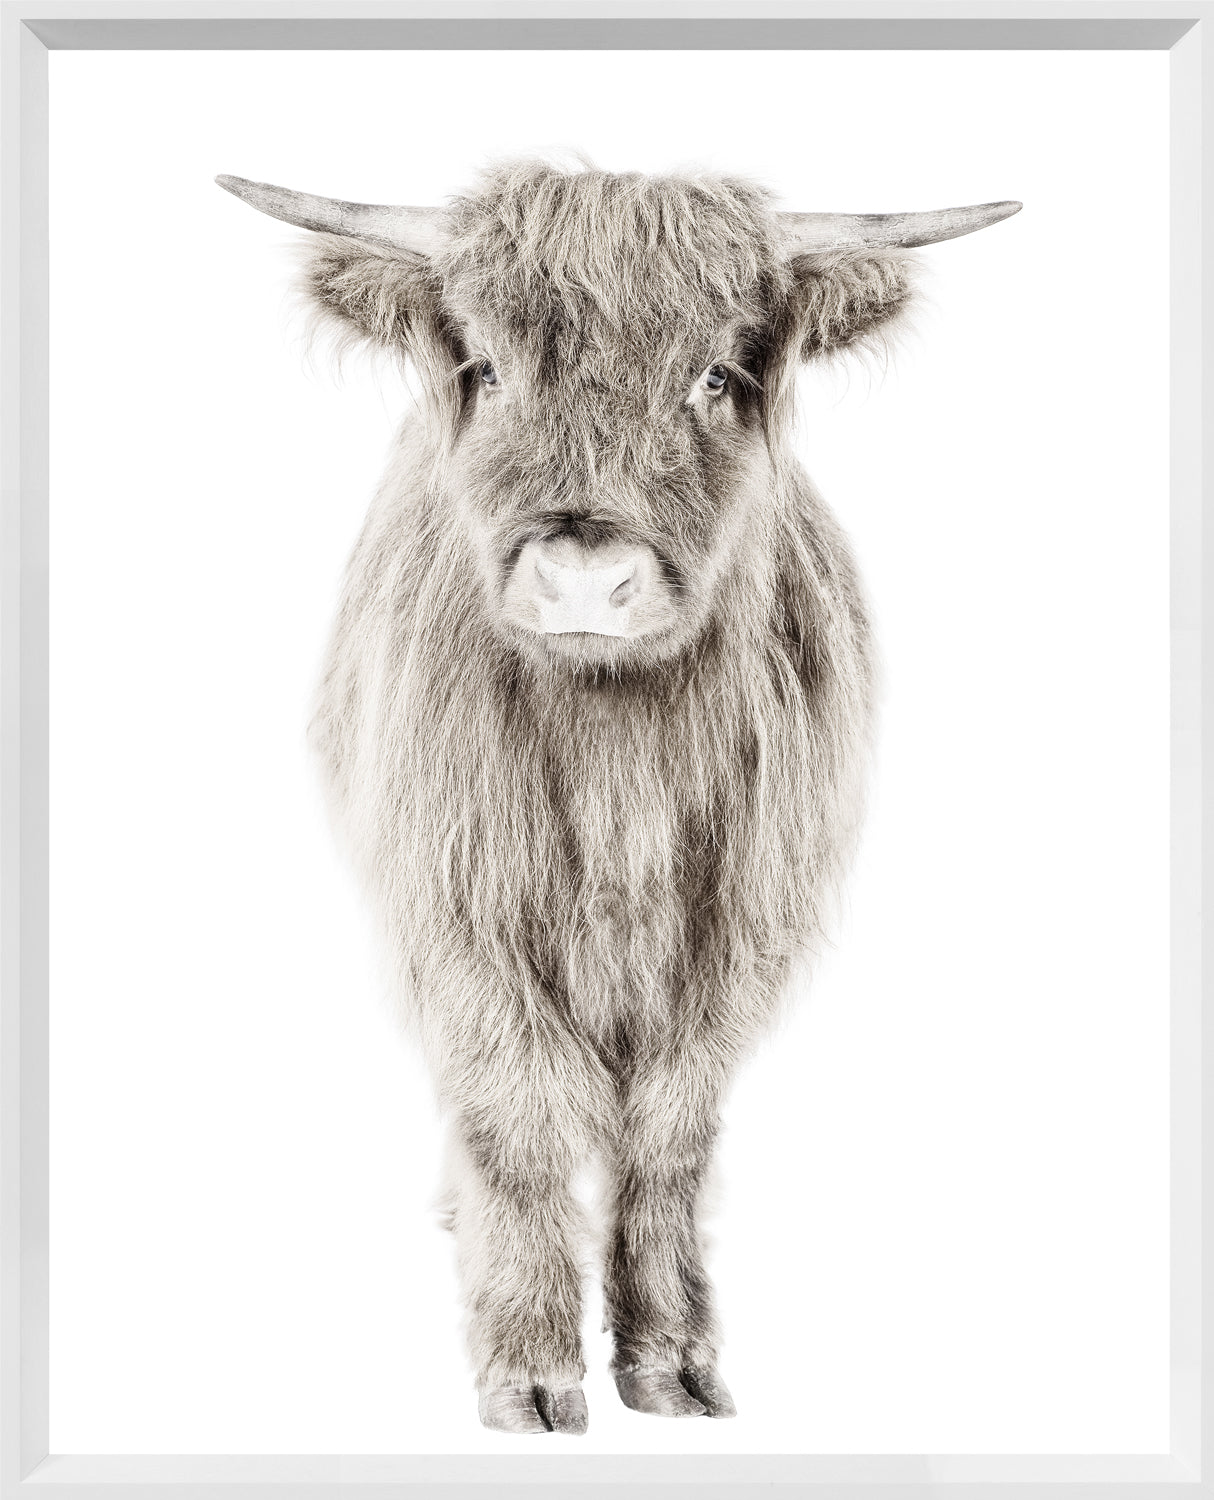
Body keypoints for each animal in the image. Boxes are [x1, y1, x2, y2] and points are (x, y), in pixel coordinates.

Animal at [217, 161, 1019, 1435]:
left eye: (716, 375)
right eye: (488, 368)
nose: (585, 577)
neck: (614, 757)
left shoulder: (737, 928)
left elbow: (669, 1134)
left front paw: (671, 1362)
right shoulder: (459, 911)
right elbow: (516, 1116)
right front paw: (529, 1370)